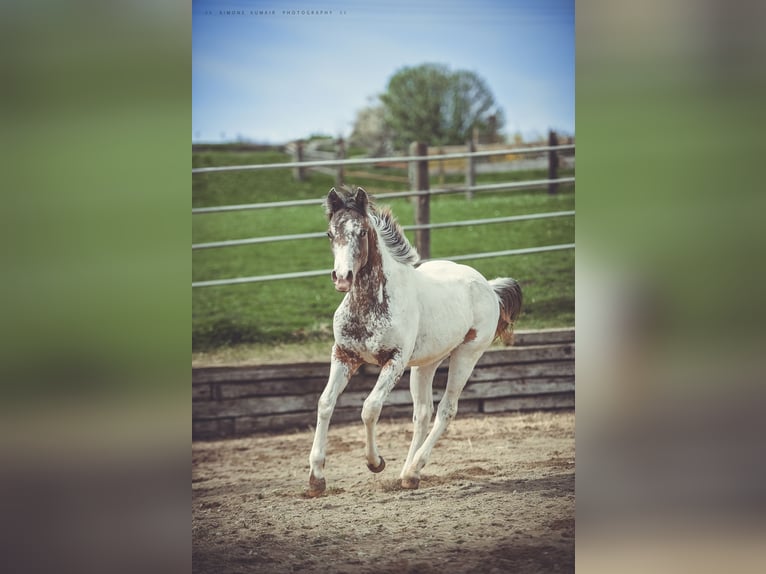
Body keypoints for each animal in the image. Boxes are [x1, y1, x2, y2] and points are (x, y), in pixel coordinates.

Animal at [307, 185, 522, 496]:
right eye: (329, 233)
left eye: (362, 232)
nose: (342, 277)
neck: (371, 304)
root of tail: (490, 288)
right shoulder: (344, 355)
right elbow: (325, 402)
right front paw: (316, 479)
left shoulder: (394, 361)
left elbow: (370, 408)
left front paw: (376, 462)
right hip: (426, 364)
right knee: (423, 413)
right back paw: (407, 475)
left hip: (467, 356)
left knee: (446, 410)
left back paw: (413, 469)